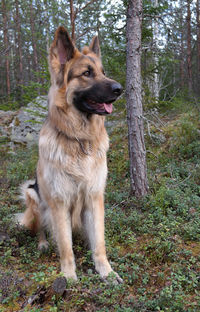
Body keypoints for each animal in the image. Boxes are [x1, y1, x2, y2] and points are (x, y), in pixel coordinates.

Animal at [18, 26, 122, 282]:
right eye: (86, 73)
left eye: (103, 72)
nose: (120, 89)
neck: (79, 140)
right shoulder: (59, 201)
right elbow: (65, 244)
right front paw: (68, 277)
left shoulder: (94, 197)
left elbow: (99, 242)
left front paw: (106, 272)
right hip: (32, 193)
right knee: (41, 229)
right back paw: (43, 244)